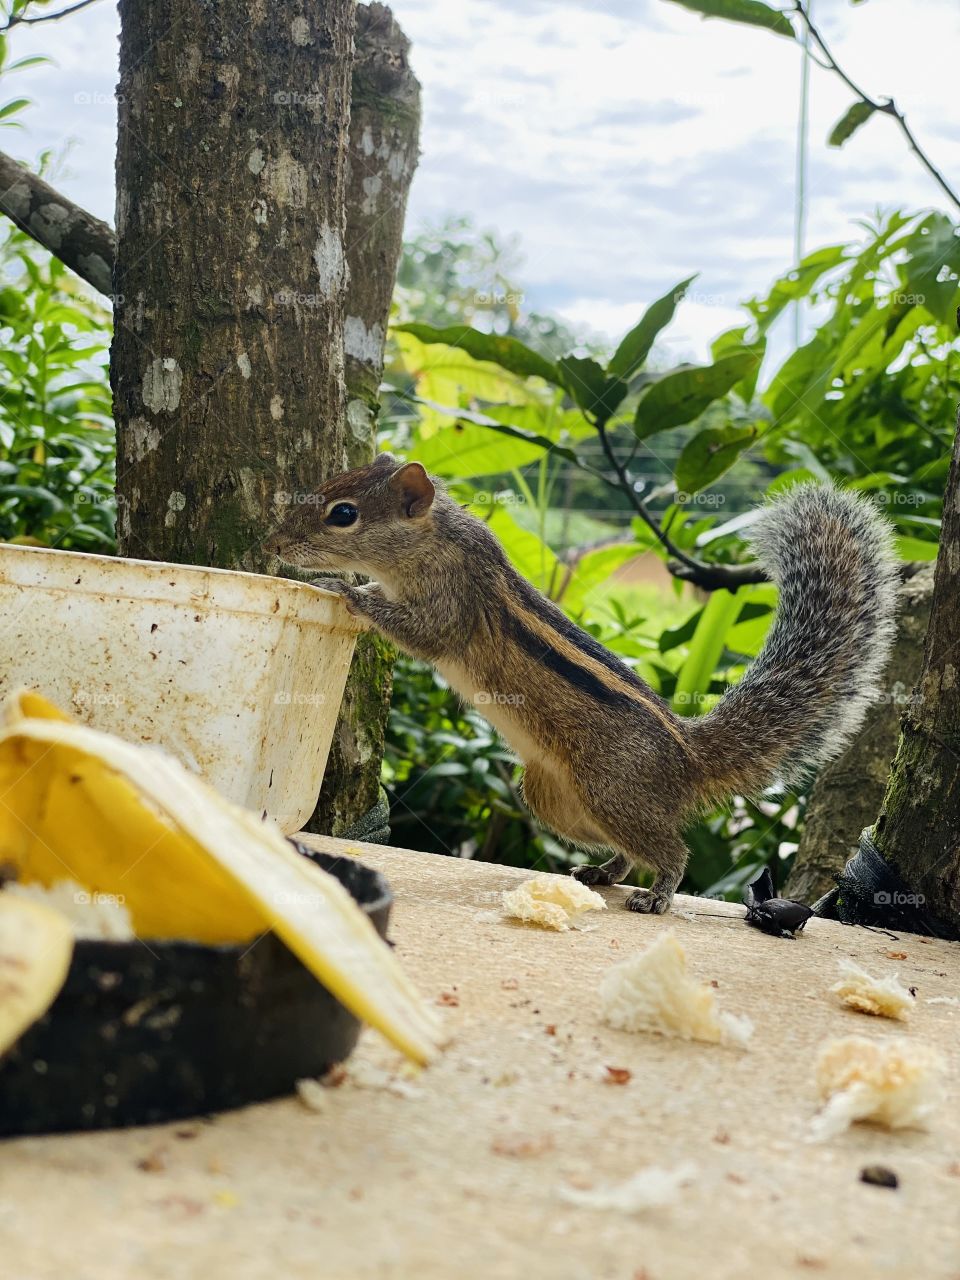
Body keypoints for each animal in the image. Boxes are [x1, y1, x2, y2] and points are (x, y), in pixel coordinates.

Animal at [264, 452, 898, 914]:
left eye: (343, 514)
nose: (275, 543)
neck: (434, 540)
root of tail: (688, 756)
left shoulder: (451, 604)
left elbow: (420, 632)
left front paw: (350, 590)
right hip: (554, 800)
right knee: (623, 848)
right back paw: (603, 871)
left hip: (612, 788)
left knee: (671, 848)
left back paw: (658, 893)